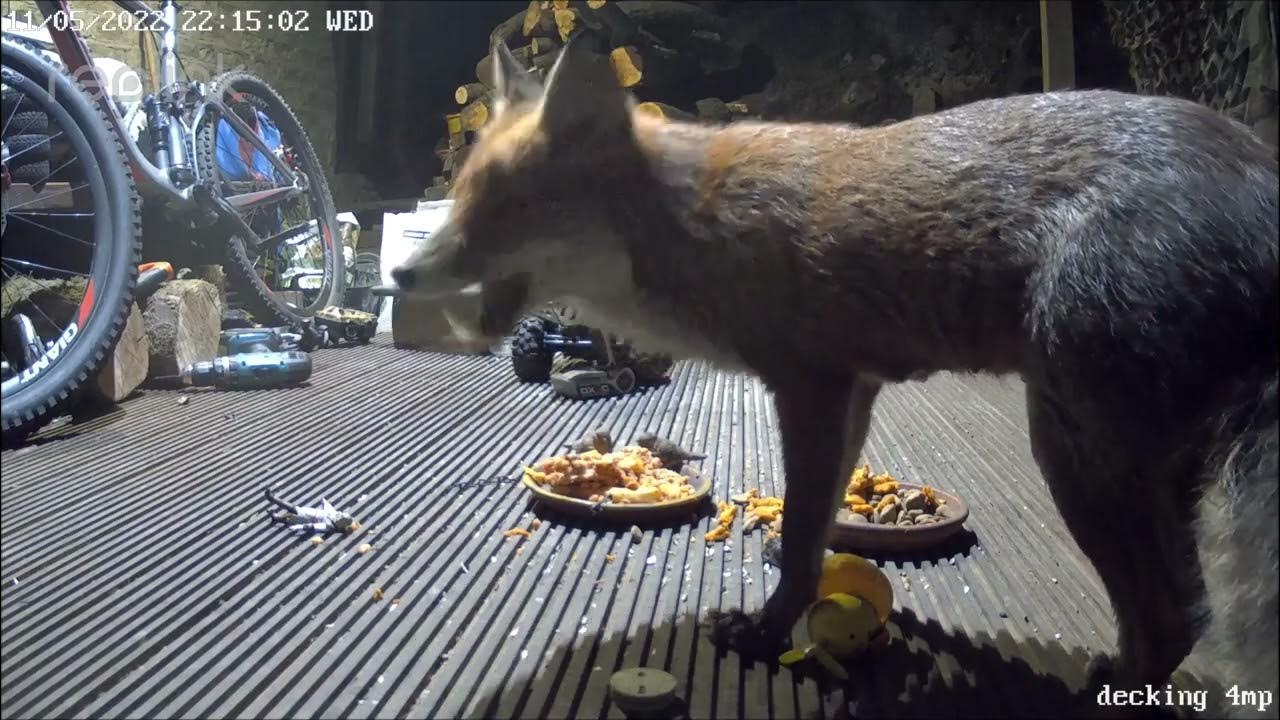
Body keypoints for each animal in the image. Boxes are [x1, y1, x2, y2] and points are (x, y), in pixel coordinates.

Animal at [394, 38, 1279, 714]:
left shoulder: (810, 385)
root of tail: (1257, 177)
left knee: (1169, 615)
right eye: (460, 198)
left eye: (505, 211)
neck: (697, 227)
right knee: (1184, 611)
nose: (402, 272)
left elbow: (797, 540)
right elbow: (815, 537)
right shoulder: (854, 389)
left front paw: (766, 633)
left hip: (1073, 451)